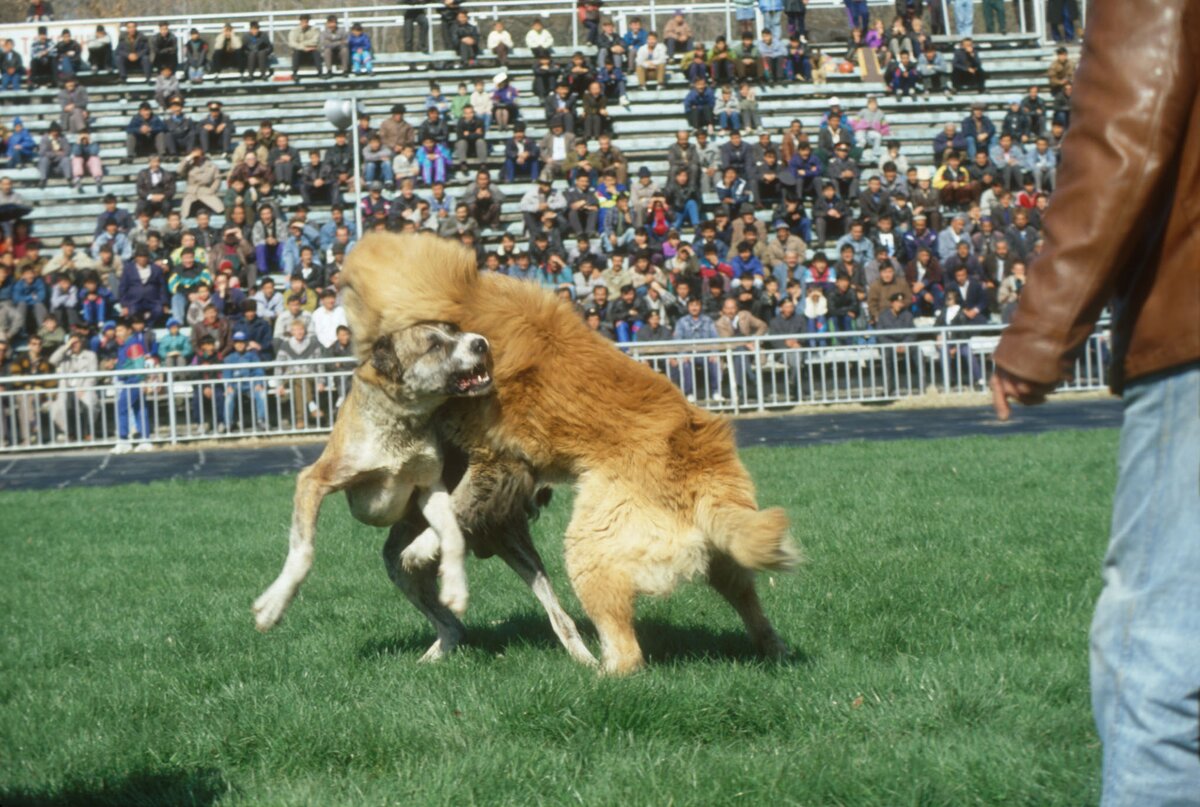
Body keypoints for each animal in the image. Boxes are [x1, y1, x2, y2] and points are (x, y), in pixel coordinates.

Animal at [343, 232, 801, 672]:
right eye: (434, 344)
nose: (479, 346)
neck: (468, 301)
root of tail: (703, 471)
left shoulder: (496, 461)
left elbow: (456, 509)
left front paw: (420, 550)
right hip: (723, 555)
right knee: (747, 598)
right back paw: (774, 648)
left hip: (591, 548)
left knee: (627, 650)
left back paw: (599, 674)